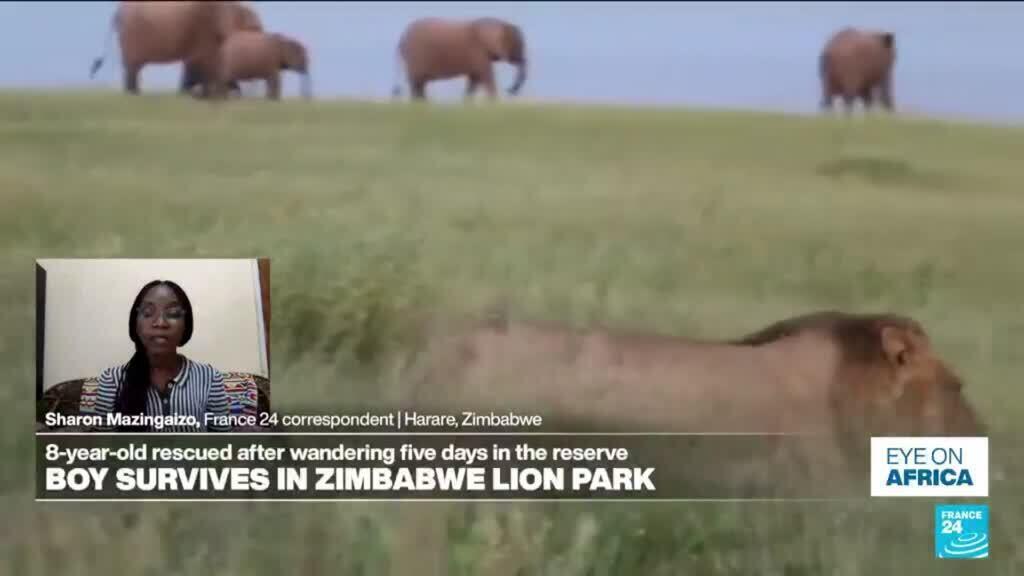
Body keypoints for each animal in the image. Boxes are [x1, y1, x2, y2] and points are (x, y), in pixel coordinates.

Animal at [88, 0, 260, 97]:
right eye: (254, 28)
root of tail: (116, 13)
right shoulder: (204, 24)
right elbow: (203, 59)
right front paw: (206, 95)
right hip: (131, 34)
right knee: (133, 67)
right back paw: (133, 94)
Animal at [387, 17, 524, 101]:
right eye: (517, 44)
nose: (510, 90)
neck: (497, 22)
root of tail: (402, 37)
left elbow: (474, 79)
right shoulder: (477, 52)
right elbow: (485, 76)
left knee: (420, 85)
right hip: (415, 57)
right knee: (416, 84)